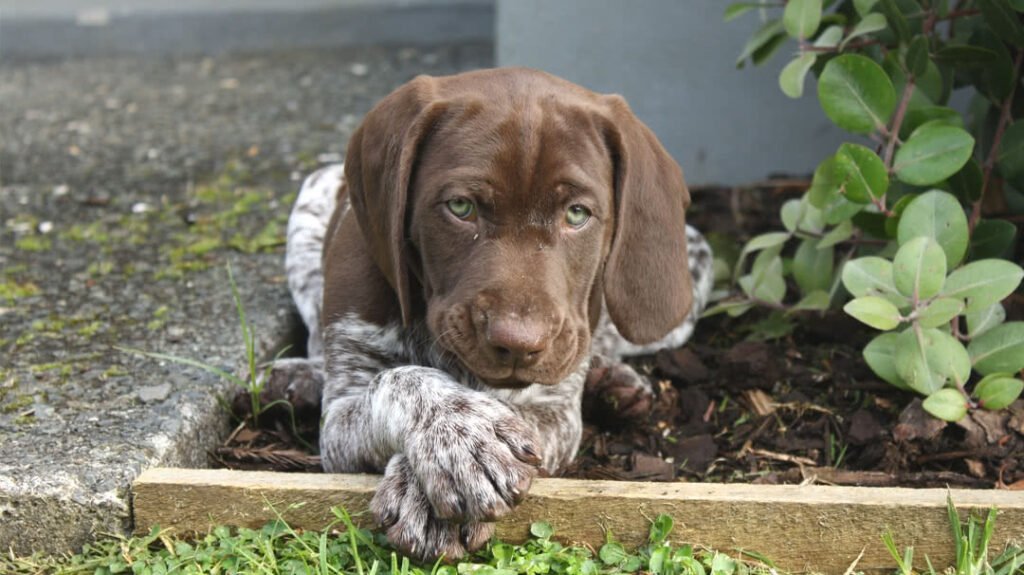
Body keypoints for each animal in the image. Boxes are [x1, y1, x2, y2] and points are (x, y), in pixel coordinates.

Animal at [272, 67, 712, 560]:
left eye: (577, 214)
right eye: (460, 207)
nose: (518, 343)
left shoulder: (556, 410)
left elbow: (515, 409)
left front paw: (437, 473)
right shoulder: (340, 416)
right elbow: (399, 380)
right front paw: (459, 437)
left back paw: (612, 380)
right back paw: (298, 377)